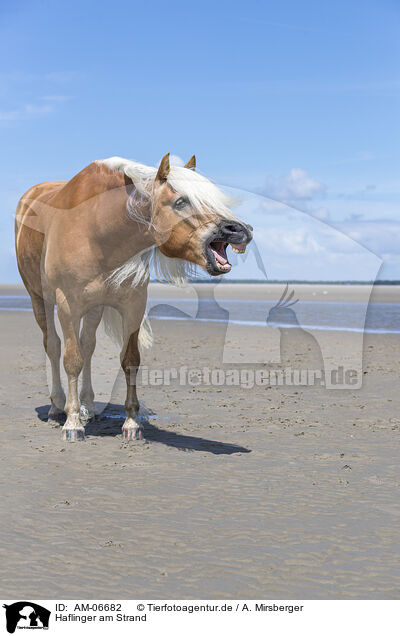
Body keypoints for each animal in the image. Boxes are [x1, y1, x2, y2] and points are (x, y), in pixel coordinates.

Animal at [16, 154, 253, 442]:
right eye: (181, 201)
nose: (239, 230)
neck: (96, 230)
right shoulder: (67, 306)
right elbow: (71, 359)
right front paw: (72, 424)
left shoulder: (133, 306)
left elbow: (129, 361)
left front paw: (131, 423)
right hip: (39, 298)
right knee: (53, 346)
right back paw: (56, 408)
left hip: (94, 308)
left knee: (87, 346)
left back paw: (88, 407)